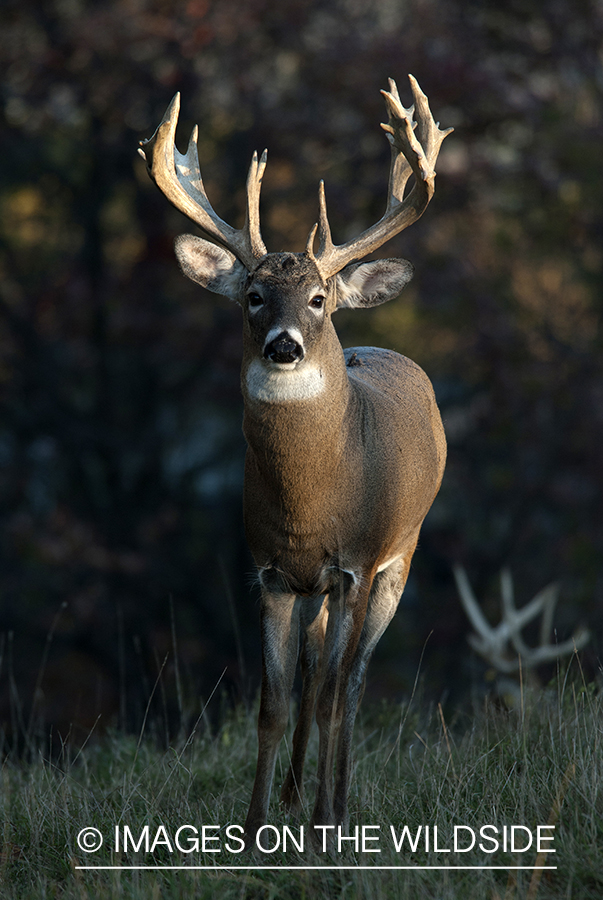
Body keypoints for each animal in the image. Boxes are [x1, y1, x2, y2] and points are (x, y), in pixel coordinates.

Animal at [140, 74, 452, 840]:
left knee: (352, 680)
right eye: (253, 295)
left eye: (317, 298)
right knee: (313, 673)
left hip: (399, 558)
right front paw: (256, 826)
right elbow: (273, 703)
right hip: (314, 590)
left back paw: (331, 804)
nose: (284, 345)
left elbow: (336, 696)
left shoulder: (354, 564)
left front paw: (327, 822)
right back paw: (290, 800)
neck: (311, 500)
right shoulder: (271, 573)